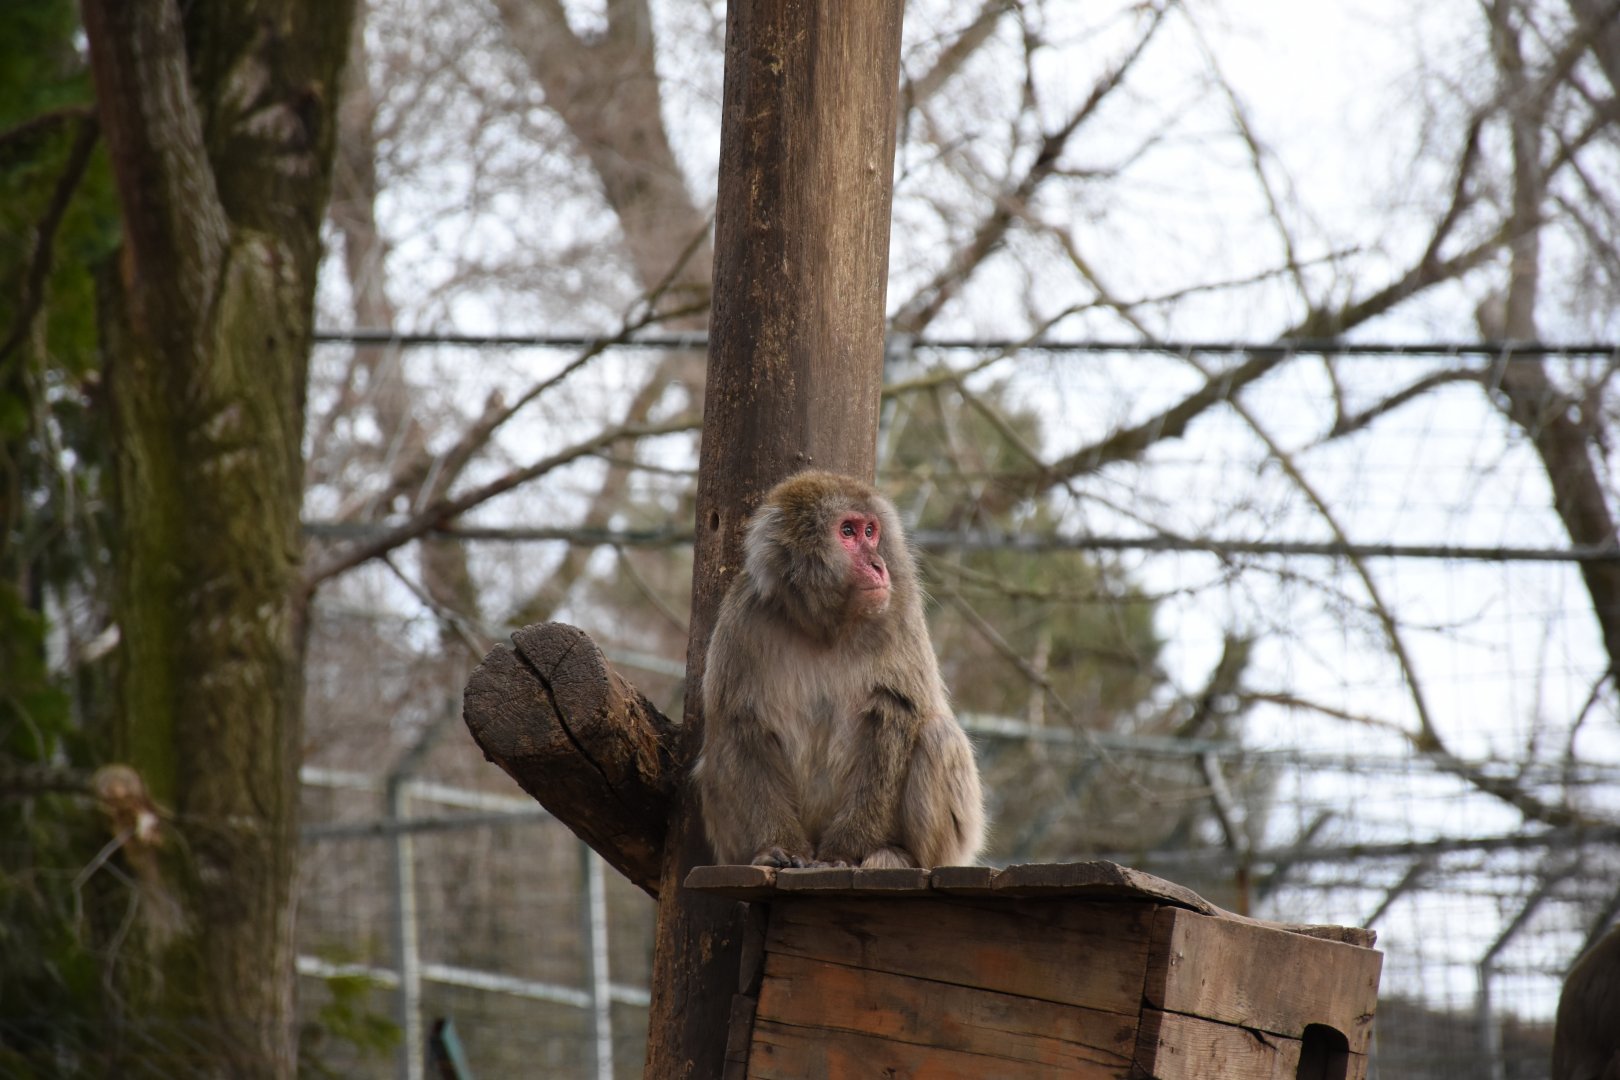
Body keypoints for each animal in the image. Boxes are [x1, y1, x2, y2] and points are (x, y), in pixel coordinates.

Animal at [694, 469, 984, 870]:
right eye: (847, 531)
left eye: (870, 532)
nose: (878, 565)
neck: (824, 625)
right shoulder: (741, 618)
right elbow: (741, 725)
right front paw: (779, 847)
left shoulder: (900, 609)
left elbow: (896, 711)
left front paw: (846, 850)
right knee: (714, 763)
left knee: (937, 735)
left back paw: (897, 855)